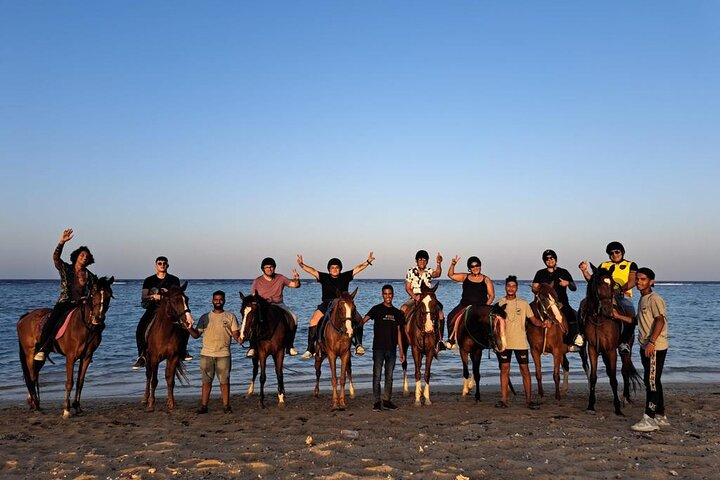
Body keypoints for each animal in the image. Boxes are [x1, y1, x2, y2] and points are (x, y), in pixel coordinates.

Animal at [16, 278, 114, 416]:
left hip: (39, 355)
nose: (98, 318)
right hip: (29, 353)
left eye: (109, 295)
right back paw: (36, 406)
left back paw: (33, 403)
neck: (83, 325)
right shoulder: (70, 357)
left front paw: (77, 406)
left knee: (33, 375)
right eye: (93, 293)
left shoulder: (86, 357)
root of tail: (25, 316)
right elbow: (69, 382)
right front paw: (66, 409)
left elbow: (80, 382)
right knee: (31, 377)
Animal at [580, 264, 640, 414]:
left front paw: (617, 407)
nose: (608, 311)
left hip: (626, 347)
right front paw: (591, 405)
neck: (600, 319)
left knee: (625, 370)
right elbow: (593, 377)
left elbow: (613, 378)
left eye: (612, 284)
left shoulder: (612, 350)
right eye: (599, 284)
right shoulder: (593, 350)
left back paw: (626, 399)